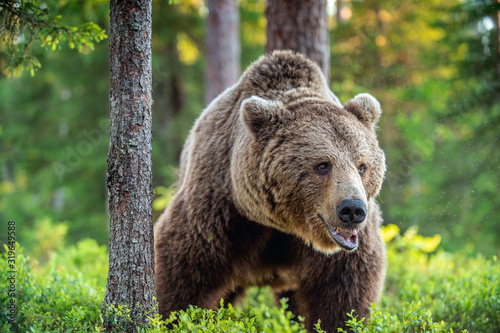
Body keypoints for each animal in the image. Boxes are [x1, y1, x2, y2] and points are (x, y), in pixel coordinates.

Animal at [154, 50, 388, 330]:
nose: (352, 209)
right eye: (322, 165)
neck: (284, 226)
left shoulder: (341, 253)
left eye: (362, 166)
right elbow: (184, 277)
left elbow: (345, 297)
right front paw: (174, 318)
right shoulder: (221, 213)